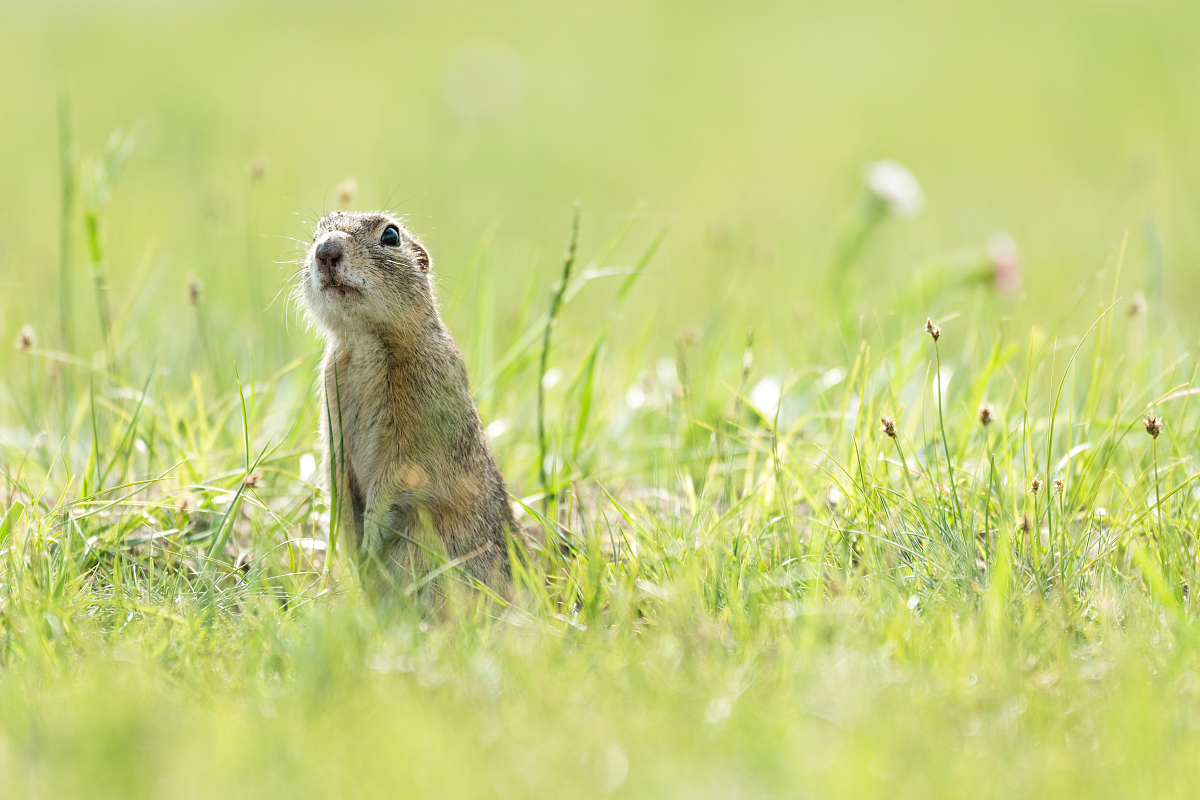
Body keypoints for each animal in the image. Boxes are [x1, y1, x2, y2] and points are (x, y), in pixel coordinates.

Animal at [300, 209, 516, 597]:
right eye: (314, 235)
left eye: (390, 235)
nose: (326, 251)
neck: (366, 338)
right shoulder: (331, 405)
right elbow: (335, 466)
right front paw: (349, 537)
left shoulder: (426, 410)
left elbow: (402, 469)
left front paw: (370, 535)